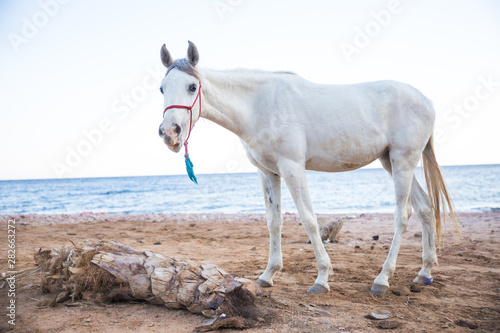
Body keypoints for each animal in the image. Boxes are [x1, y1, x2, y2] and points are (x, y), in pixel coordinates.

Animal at [158, 41, 458, 294]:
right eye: (162, 88)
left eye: (192, 87)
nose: (169, 133)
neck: (258, 105)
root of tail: (426, 100)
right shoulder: (268, 173)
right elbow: (274, 222)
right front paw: (268, 275)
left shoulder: (292, 168)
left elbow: (309, 220)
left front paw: (322, 278)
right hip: (391, 162)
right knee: (425, 208)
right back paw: (424, 272)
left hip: (402, 161)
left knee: (403, 215)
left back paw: (382, 279)